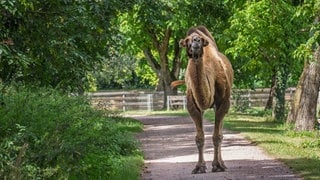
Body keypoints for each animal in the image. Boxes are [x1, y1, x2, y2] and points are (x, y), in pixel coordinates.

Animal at [176, 26, 234, 174]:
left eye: (201, 40)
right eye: (187, 40)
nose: (196, 41)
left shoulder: (223, 103)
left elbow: (217, 136)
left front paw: (217, 166)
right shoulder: (193, 105)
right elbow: (199, 138)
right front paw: (199, 167)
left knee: (220, 133)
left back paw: (222, 164)